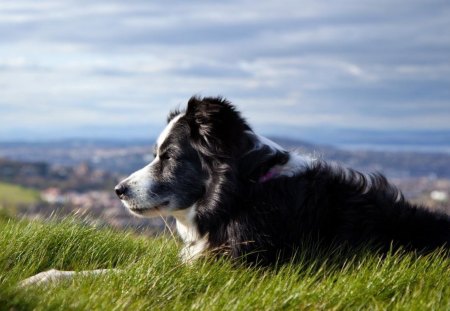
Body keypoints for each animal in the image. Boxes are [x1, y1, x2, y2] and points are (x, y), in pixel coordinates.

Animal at [20, 95, 450, 288]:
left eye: (169, 156)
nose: (118, 189)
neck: (242, 194)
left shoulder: (226, 267)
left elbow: (121, 274)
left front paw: (40, 280)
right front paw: (42, 276)